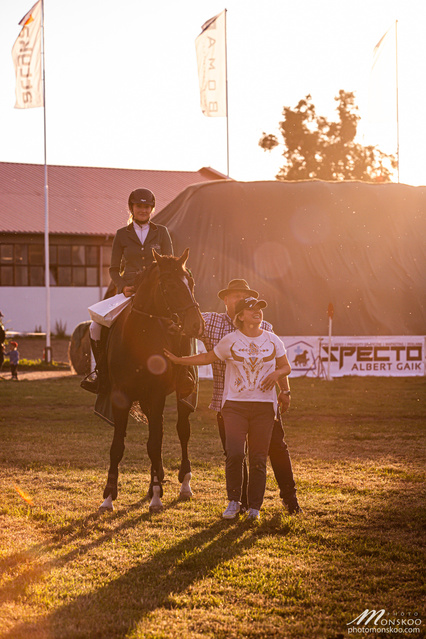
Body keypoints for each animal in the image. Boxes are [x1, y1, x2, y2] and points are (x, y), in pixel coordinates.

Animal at [101, 248, 205, 512]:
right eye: (170, 285)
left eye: (191, 283)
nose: (196, 324)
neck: (138, 337)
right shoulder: (121, 396)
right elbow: (118, 446)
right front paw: (108, 496)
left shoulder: (157, 394)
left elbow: (155, 443)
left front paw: (157, 495)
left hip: (179, 395)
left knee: (182, 431)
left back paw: (183, 484)